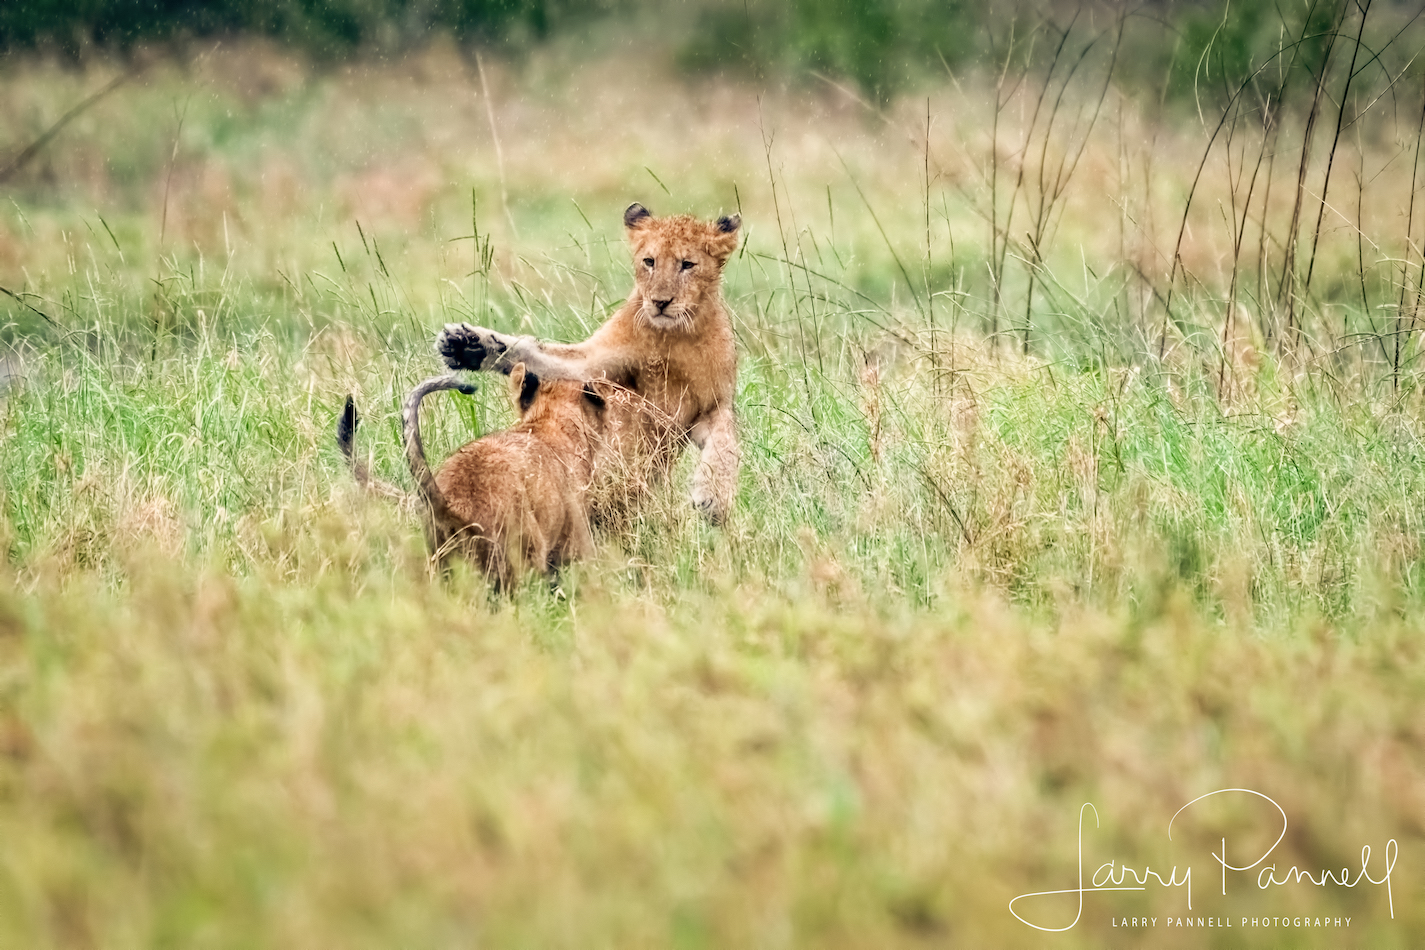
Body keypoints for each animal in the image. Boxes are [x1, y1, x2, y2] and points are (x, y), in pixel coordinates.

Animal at [435, 203, 742, 525]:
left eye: (687, 264)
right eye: (649, 261)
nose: (660, 302)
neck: (673, 336)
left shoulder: (711, 405)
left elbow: (727, 445)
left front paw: (713, 498)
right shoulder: (595, 364)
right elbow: (536, 354)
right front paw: (468, 345)